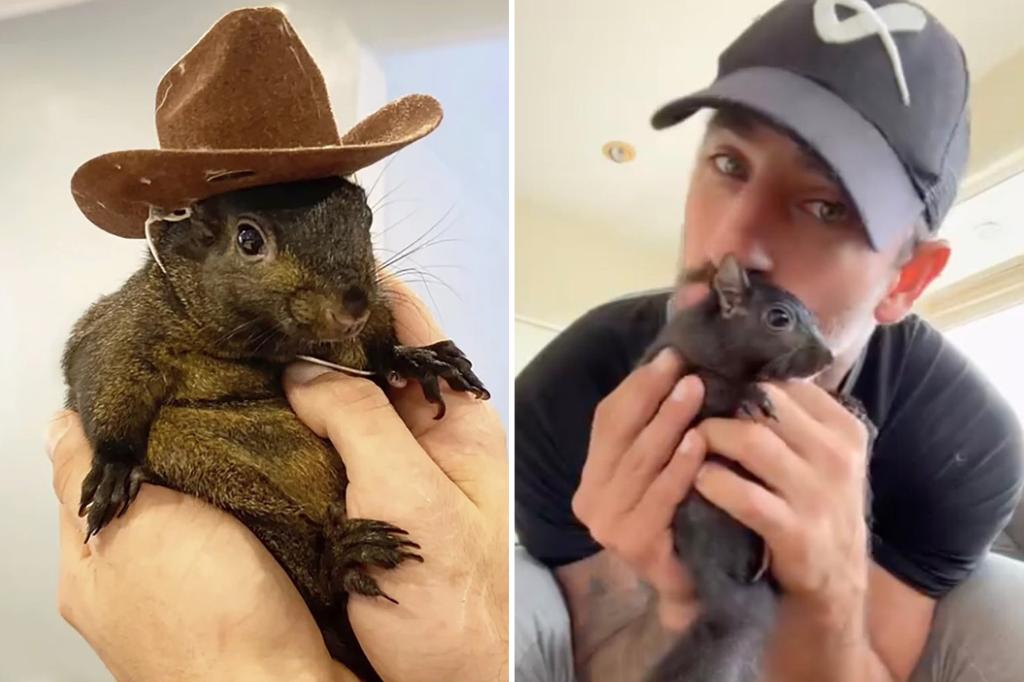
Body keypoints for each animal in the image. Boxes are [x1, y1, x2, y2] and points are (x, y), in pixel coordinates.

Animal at [61, 175, 490, 682]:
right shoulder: (125, 328)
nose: (353, 306)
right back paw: (338, 560)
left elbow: (379, 351)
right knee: (317, 584)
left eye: (364, 216)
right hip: (216, 476)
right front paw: (114, 466)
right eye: (248, 239)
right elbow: (105, 376)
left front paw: (418, 359)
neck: (266, 347)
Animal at [639, 255, 875, 682]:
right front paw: (750, 395)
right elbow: (709, 385)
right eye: (778, 318)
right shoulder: (670, 366)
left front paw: (851, 406)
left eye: (816, 318)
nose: (828, 358)